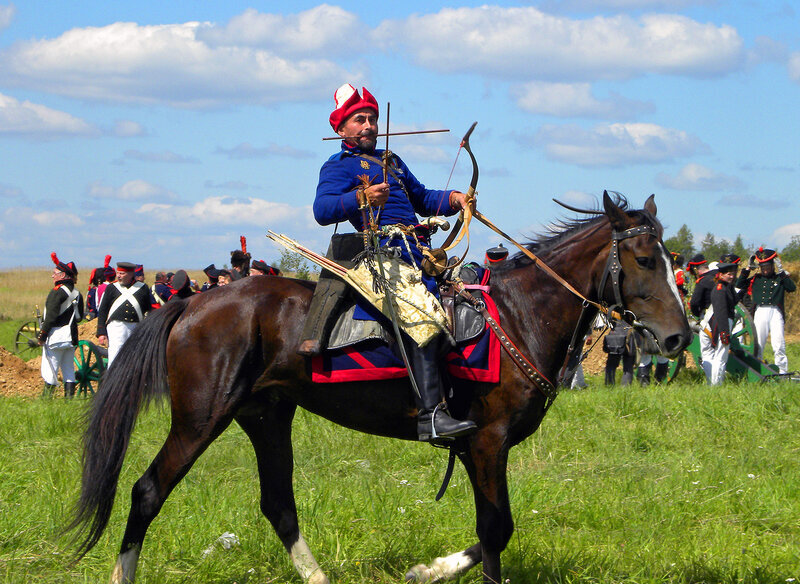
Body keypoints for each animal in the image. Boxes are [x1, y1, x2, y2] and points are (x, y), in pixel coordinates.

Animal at [69, 193, 692, 584]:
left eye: (671, 261)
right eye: (643, 259)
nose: (678, 337)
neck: (520, 316)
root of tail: (193, 304)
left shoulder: (475, 449)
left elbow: (492, 530)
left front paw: (426, 569)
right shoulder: (487, 443)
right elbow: (497, 529)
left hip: (266, 417)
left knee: (278, 505)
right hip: (200, 420)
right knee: (147, 491)